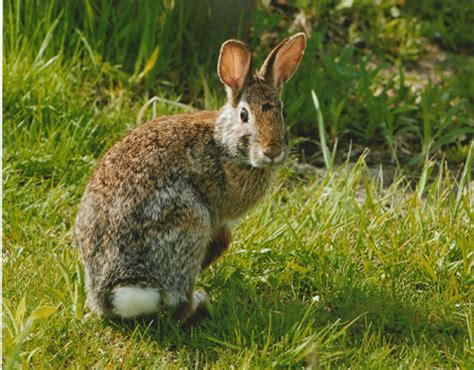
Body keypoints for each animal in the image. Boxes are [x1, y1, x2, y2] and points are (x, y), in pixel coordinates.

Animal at [73, 32, 308, 320]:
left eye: (282, 112)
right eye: (244, 114)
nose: (272, 151)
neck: (223, 144)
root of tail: (112, 295)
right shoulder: (217, 212)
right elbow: (224, 238)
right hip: (188, 222)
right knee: (179, 306)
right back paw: (200, 300)